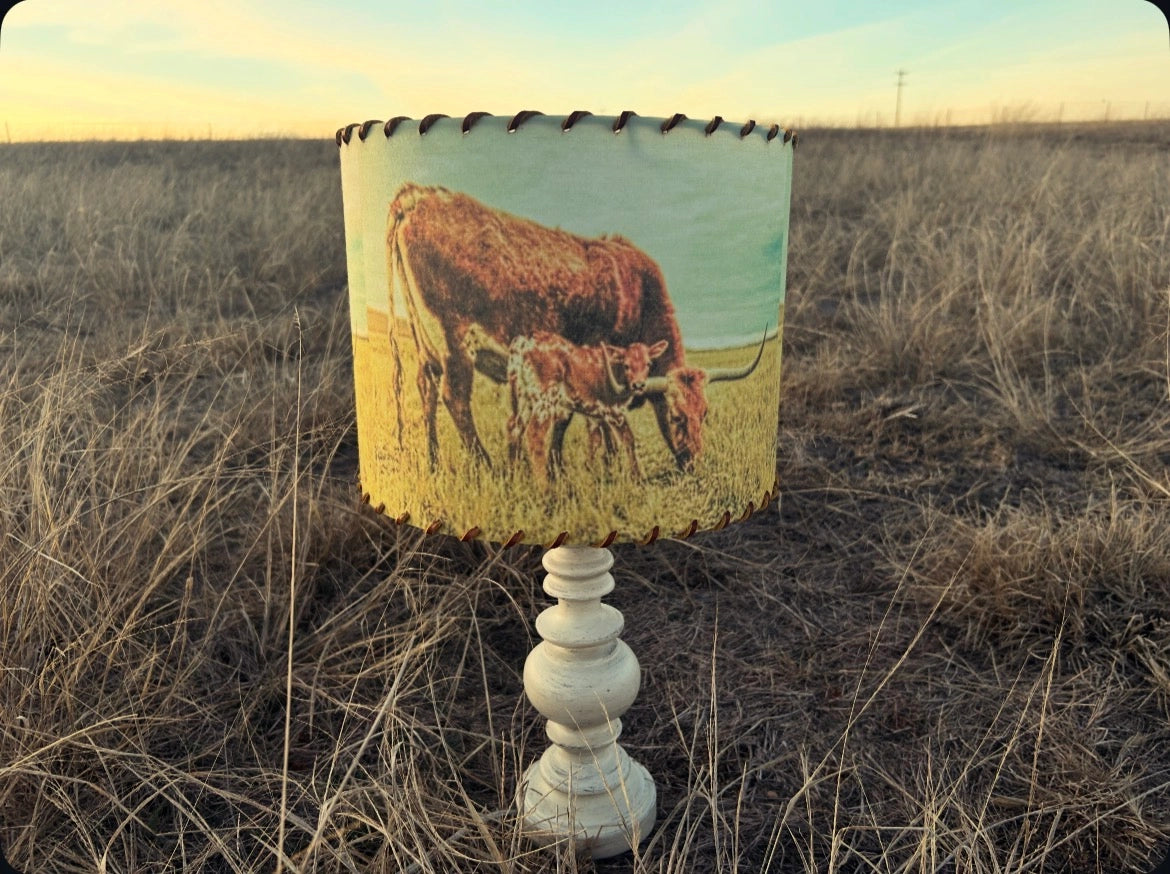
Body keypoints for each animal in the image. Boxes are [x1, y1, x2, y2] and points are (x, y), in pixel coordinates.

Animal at [462, 324, 668, 485]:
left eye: (648, 363)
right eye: (626, 365)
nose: (639, 385)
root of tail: (523, 342)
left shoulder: (594, 413)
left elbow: (595, 440)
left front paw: (592, 472)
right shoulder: (613, 411)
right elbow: (628, 439)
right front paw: (638, 478)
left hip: (523, 397)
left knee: (514, 427)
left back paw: (513, 478)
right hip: (544, 399)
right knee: (535, 434)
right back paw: (544, 489)